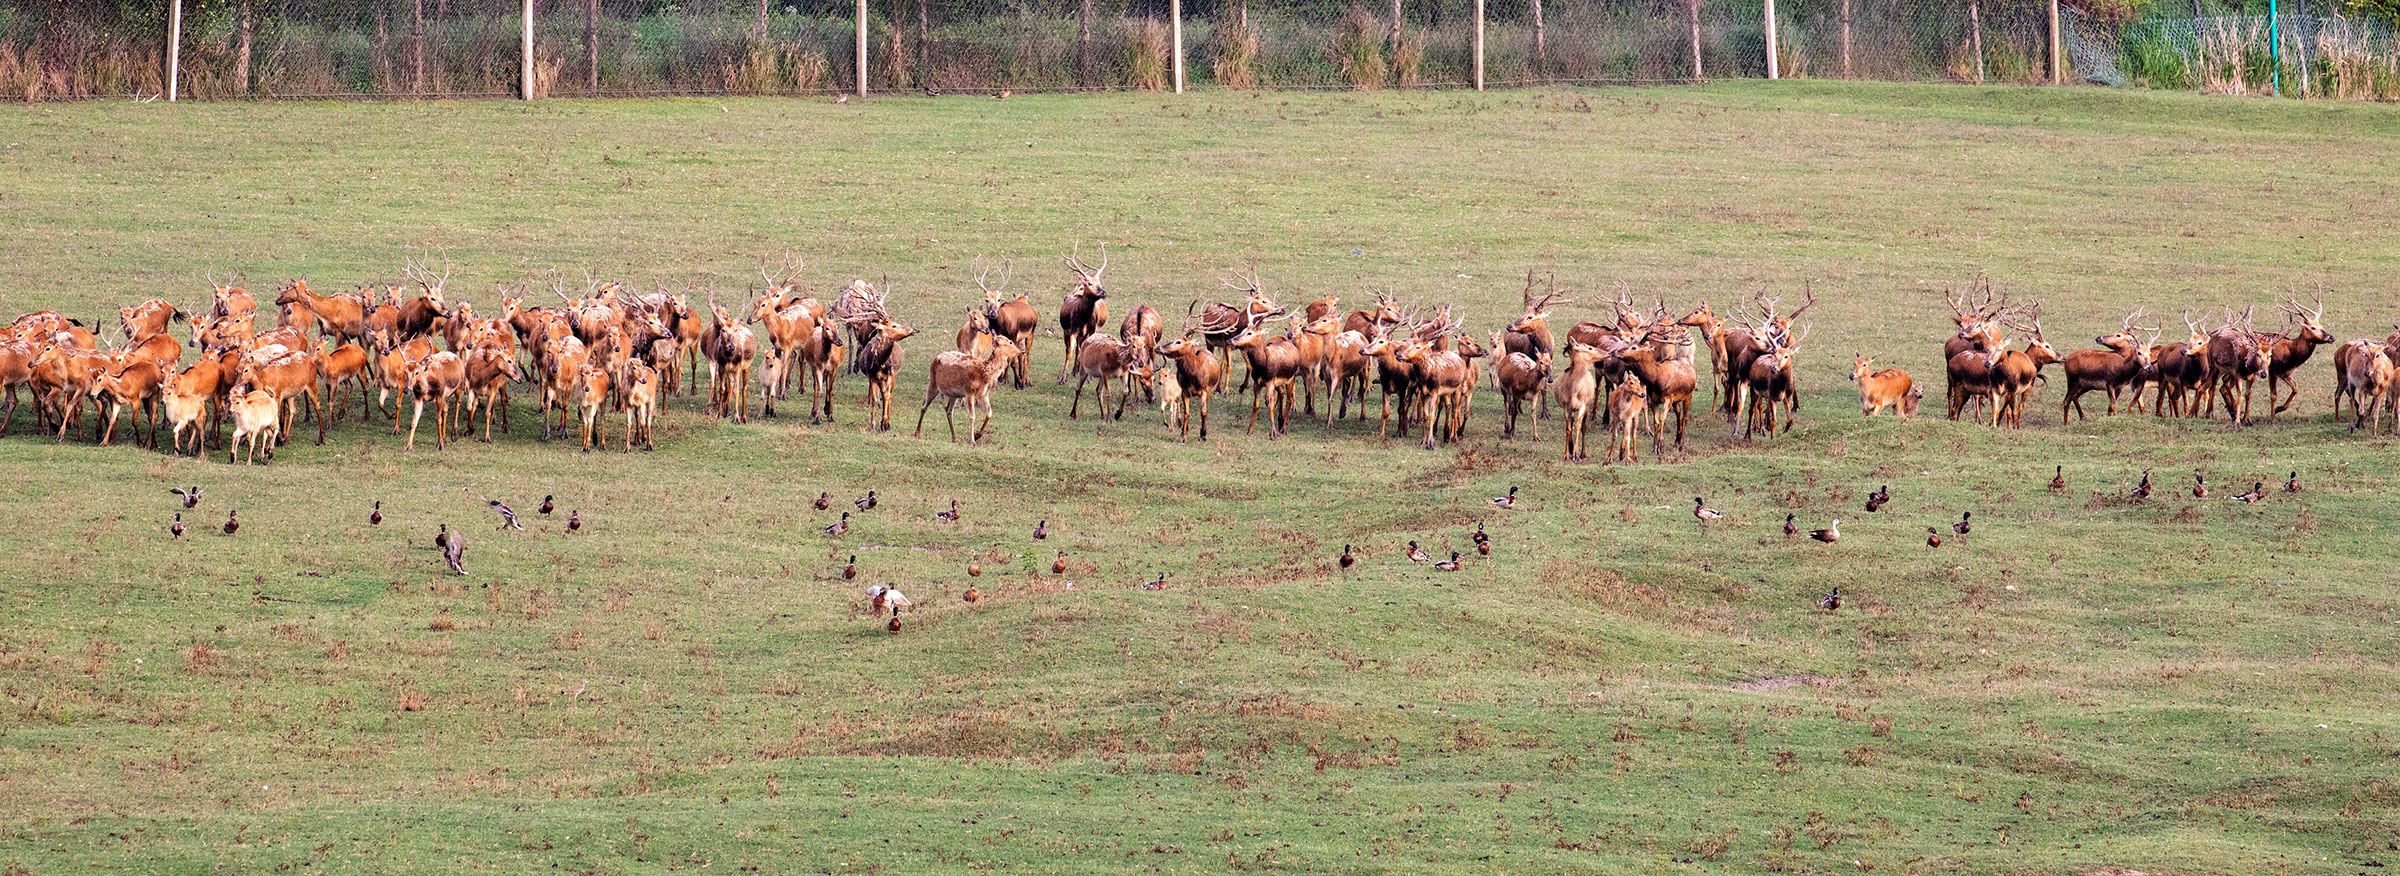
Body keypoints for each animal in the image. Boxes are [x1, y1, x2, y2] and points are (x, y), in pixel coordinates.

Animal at [1056, 243, 1108, 384]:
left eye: (1100, 283)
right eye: (1089, 283)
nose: (1103, 292)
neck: (1084, 319)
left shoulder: (1090, 331)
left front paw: (1089, 377)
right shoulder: (1073, 330)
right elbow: (1070, 352)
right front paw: (1062, 378)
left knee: (1080, 349)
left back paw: (1077, 371)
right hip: (1066, 331)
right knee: (1070, 349)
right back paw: (1073, 371)